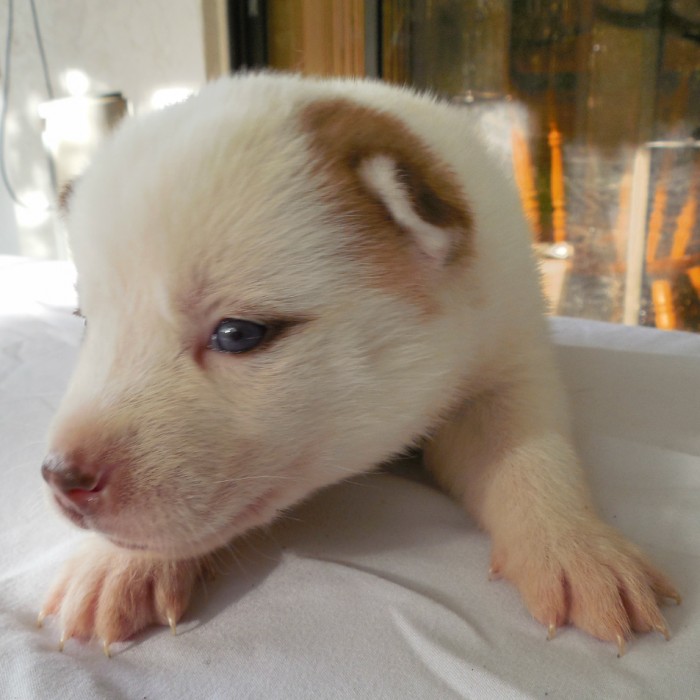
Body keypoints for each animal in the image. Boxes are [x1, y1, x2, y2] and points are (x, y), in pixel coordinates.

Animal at [39, 74, 680, 652]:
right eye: (85, 320)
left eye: (238, 334)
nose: (62, 478)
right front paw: (115, 566)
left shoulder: (506, 362)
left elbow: (531, 451)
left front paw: (578, 547)